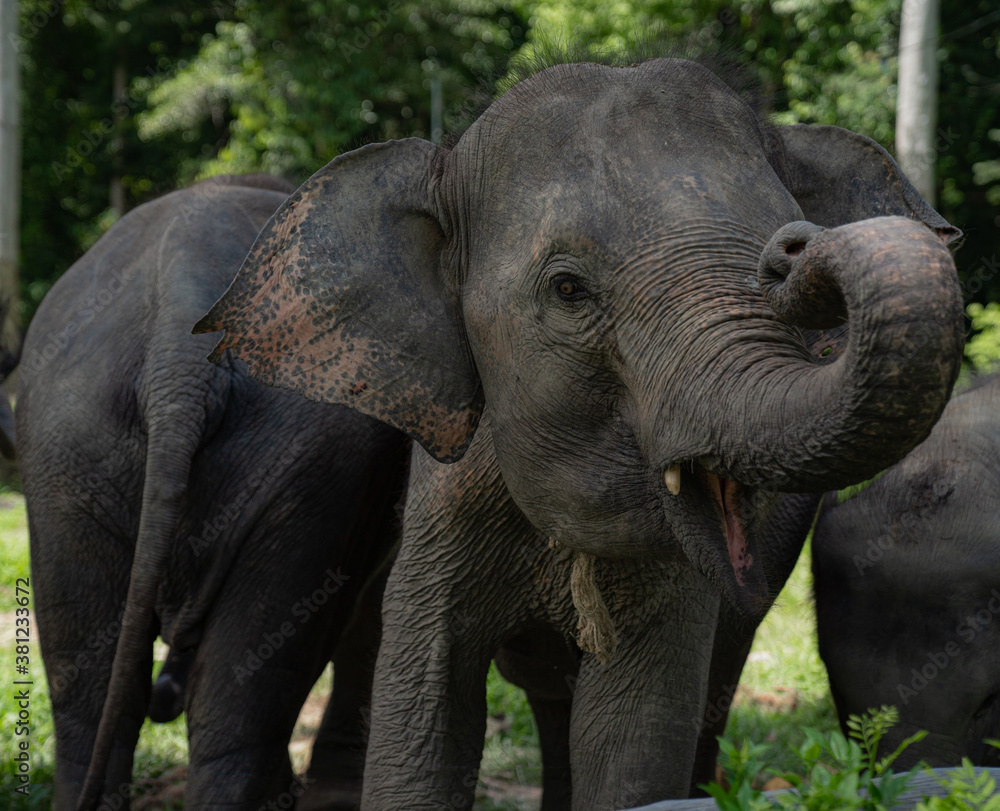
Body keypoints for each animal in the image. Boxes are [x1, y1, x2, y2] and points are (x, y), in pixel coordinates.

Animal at [15, 174, 411, 810]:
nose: (166, 694)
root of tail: (177, 358)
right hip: (82, 444)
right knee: (231, 703)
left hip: (86, 445)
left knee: (109, 696)